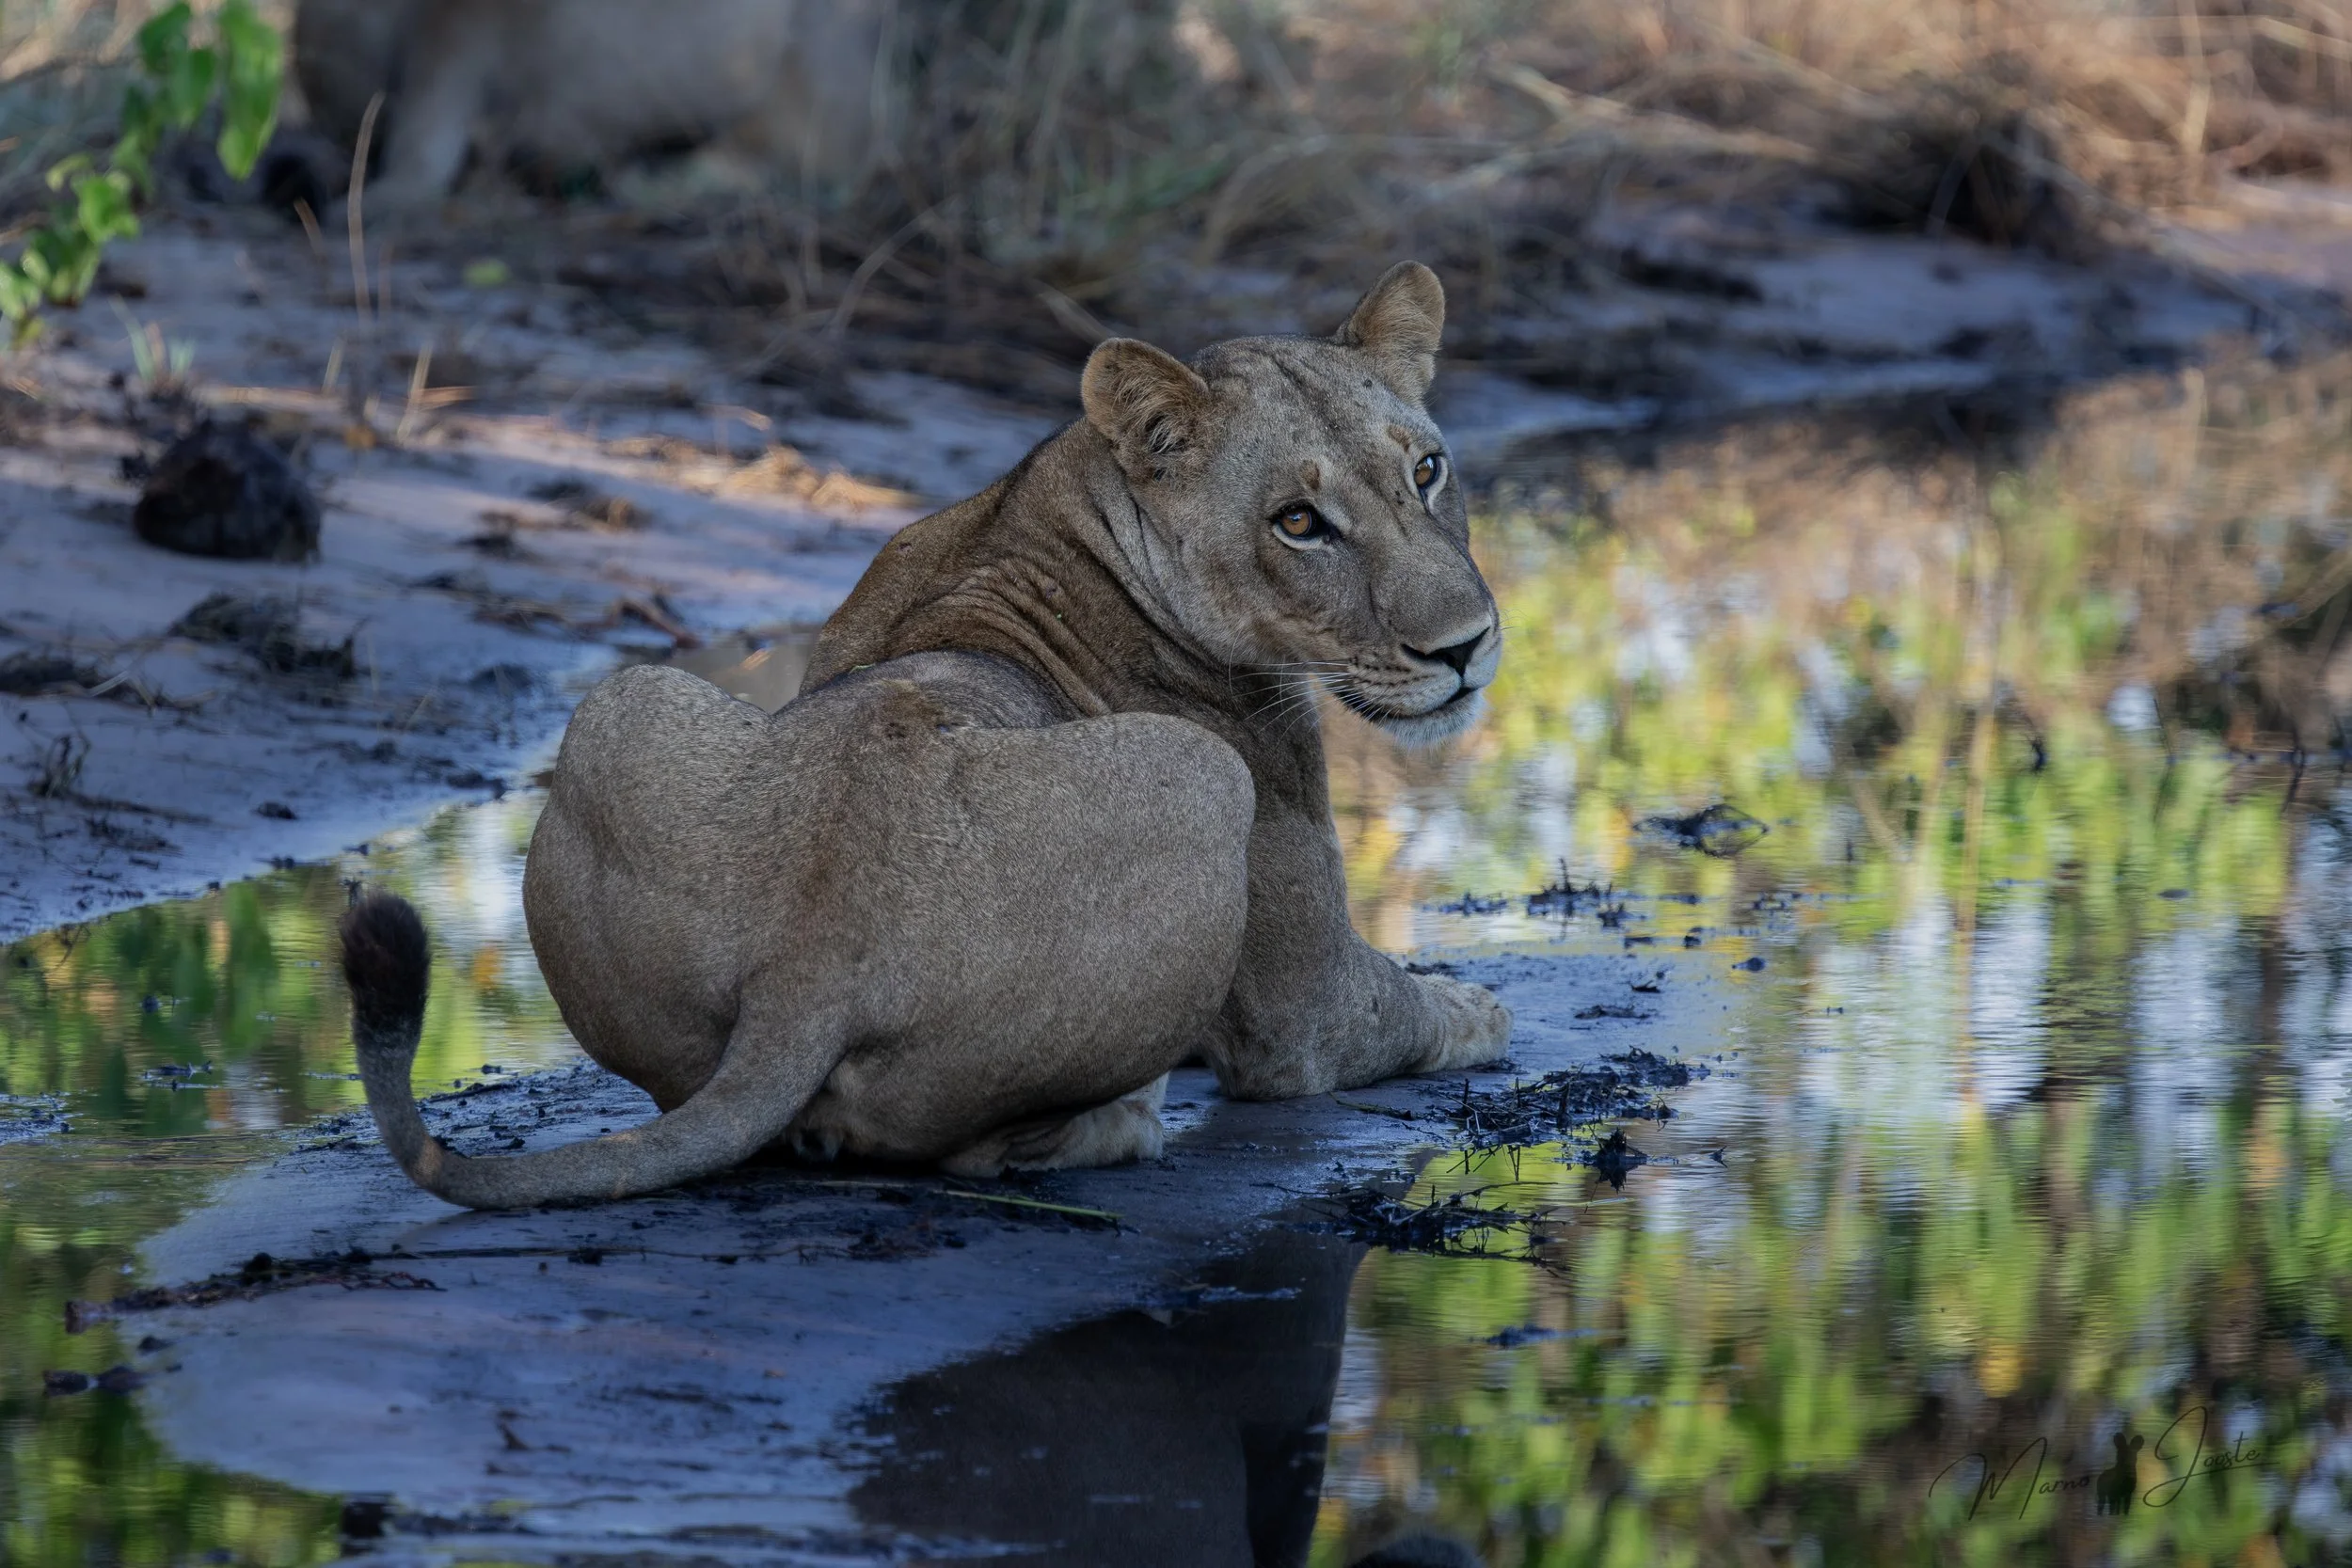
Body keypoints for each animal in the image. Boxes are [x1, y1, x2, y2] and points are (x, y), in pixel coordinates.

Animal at [342, 262, 1512, 1209]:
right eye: (1297, 523)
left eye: (1425, 471)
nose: (1465, 646)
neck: (1073, 501)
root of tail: (804, 964)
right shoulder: (1299, 1011)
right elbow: (1397, 1005)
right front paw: (1476, 1004)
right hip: (1202, 776)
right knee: (977, 1151)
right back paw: (1116, 1122)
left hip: (618, 703)